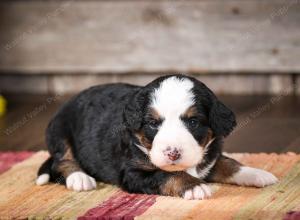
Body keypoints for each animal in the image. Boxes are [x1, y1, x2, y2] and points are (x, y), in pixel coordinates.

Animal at [36, 75, 278, 200]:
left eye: (193, 122)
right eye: (153, 123)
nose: (173, 153)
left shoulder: (210, 155)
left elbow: (227, 162)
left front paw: (256, 173)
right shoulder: (133, 172)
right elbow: (166, 174)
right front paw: (193, 186)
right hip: (60, 131)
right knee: (61, 161)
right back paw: (79, 178)